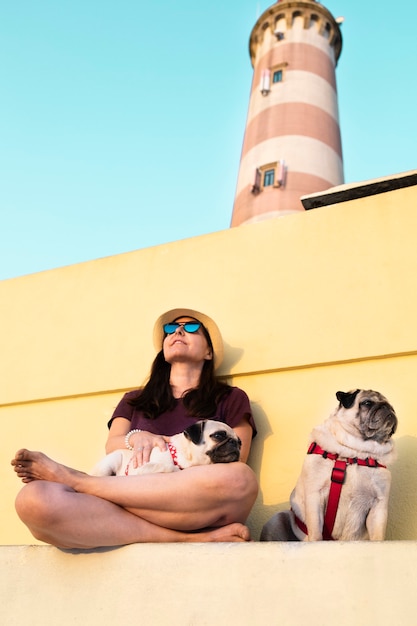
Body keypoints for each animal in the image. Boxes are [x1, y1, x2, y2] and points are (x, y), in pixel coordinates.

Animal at [91, 416, 240, 476]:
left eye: (240, 443)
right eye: (219, 435)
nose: (234, 442)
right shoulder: (144, 468)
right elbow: (167, 466)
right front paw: (175, 469)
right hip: (109, 464)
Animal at [260, 388, 396, 540]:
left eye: (391, 406)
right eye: (367, 403)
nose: (388, 408)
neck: (354, 454)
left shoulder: (379, 505)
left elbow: (378, 536)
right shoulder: (315, 495)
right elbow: (316, 532)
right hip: (276, 520)